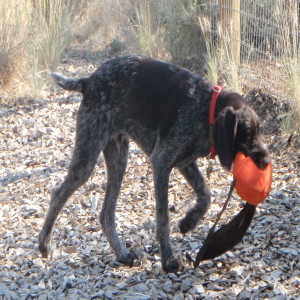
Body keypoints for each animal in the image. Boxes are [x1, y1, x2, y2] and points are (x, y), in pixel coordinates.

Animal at [38, 55, 270, 274]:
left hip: (118, 158)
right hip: (88, 154)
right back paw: (44, 244)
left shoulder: (185, 162)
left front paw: (188, 222)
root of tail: (89, 81)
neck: (205, 109)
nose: (266, 160)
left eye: (259, 131)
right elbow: (163, 218)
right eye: (248, 133)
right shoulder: (161, 162)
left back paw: (122, 254)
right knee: (58, 194)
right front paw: (168, 260)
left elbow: (206, 195)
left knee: (106, 214)